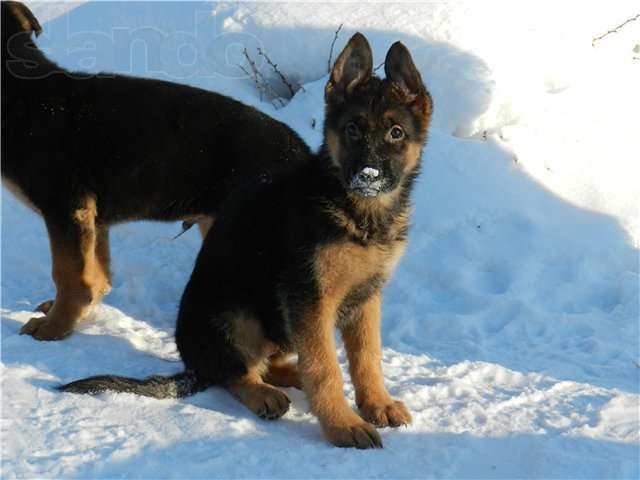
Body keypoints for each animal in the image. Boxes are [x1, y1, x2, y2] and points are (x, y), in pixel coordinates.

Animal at [0, 3, 310, 342]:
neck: (19, 93)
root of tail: (304, 153)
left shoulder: (66, 209)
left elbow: (69, 274)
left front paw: (56, 326)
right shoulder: (93, 219)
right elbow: (95, 273)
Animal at [62, 34, 432, 450]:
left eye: (396, 133)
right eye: (352, 129)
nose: (368, 176)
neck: (358, 212)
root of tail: (193, 364)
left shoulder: (366, 296)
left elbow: (367, 356)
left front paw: (377, 404)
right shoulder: (308, 296)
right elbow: (325, 368)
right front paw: (343, 424)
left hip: (278, 325)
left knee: (272, 362)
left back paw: (289, 377)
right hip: (237, 315)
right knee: (236, 371)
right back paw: (264, 394)